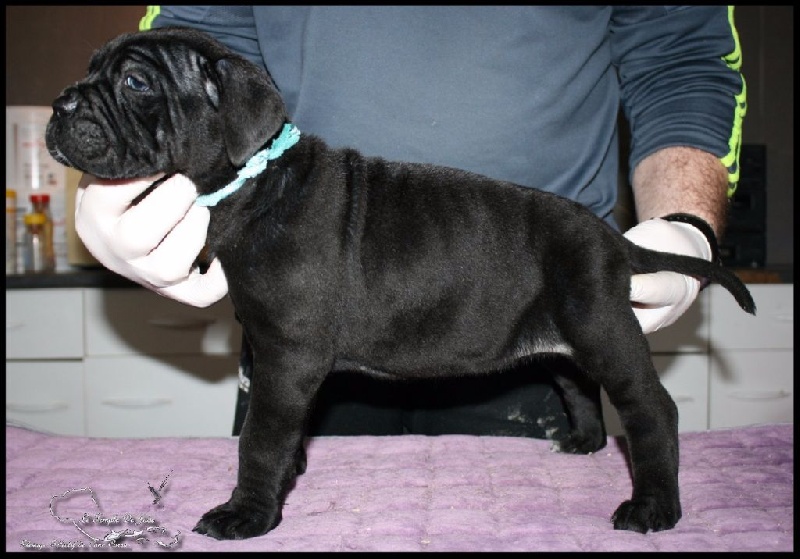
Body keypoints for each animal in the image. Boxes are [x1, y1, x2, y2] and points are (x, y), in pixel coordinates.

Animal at [46, 27, 756, 540]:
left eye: (136, 81)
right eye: (89, 69)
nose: (60, 102)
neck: (256, 179)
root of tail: (614, 239)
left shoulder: (289, 353)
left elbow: (260, 437)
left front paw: (247, 512)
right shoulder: (265, 347)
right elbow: (279, 425)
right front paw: (291, 468)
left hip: (601, 323)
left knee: (650, 407)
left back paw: (654, 506)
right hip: (563, 329)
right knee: (577, 382)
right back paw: (582, 441)